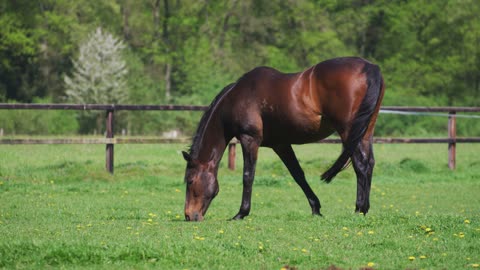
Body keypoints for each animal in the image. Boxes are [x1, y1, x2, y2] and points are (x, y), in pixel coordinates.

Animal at [182, 56, 384, 221]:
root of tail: (370, 68)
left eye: (190, 181)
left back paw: (359, 209)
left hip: (349, 131)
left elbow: (248, 176)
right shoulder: (281, 144)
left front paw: (241, 213)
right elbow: (298, 174)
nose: (189, 215)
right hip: (365, 132)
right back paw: (364, 208)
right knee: (369, 163)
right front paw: (316, 208)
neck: (237, 98)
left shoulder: (249, 139)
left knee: (360, 165)